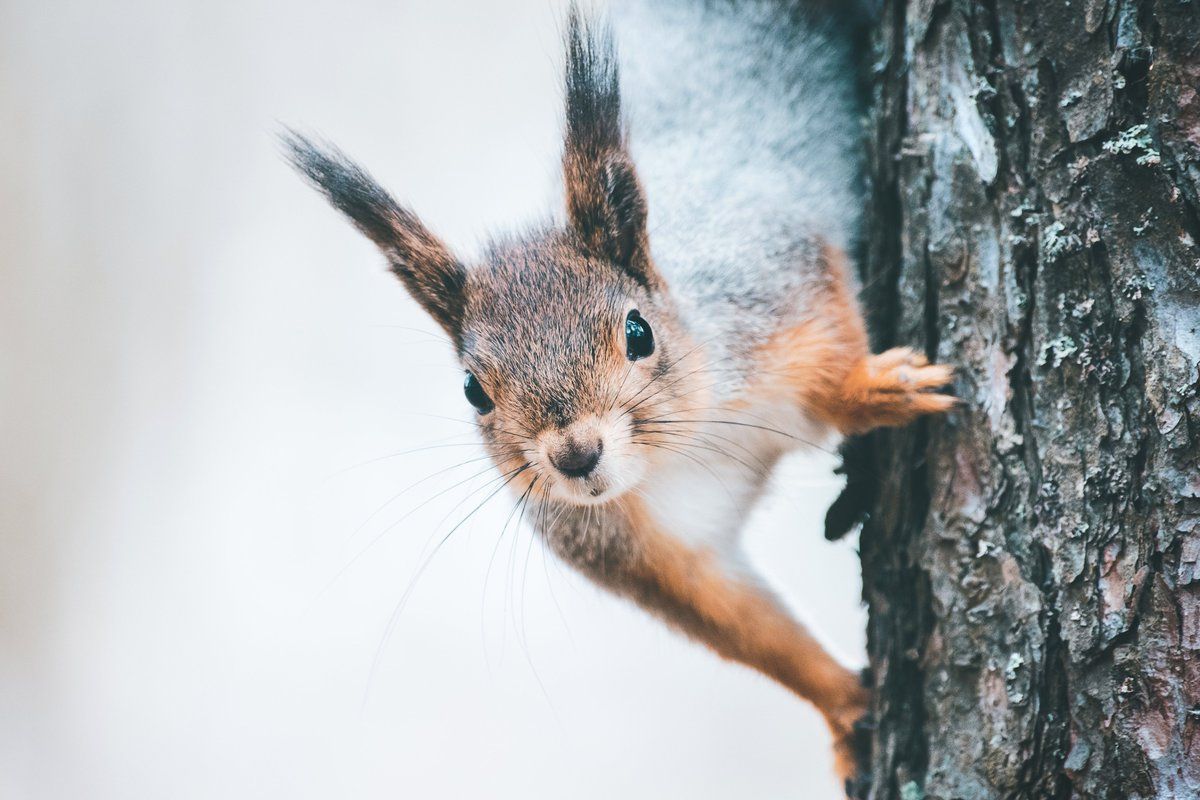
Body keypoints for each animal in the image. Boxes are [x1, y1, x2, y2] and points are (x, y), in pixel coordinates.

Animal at [285, 0, 953, 790]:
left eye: (638, 332)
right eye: (474, 389)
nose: (576, 456)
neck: (682, 448)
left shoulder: (772, 277)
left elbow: (829, 352)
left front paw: (876, 387)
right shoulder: (639, 551)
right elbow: (740, 622)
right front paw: (844, 707)